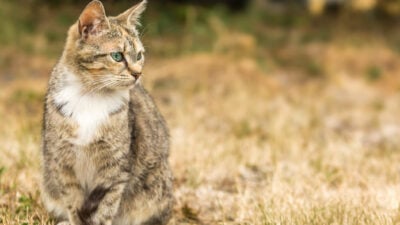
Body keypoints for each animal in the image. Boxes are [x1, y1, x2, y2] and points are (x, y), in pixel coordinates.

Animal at [39, 0, 175, 224]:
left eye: (139, 55)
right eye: (117, 56)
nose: (138, 73)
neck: (90, 96)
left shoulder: (116, 169)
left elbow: (105, 209)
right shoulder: (63, 165)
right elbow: (73, 205)